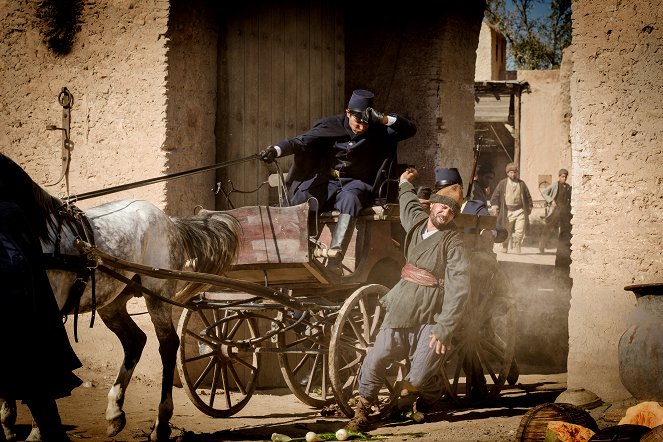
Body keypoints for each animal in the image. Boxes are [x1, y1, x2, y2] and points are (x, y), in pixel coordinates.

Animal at [0, 154, 243, 440]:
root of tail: (170, 221)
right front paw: (9, 425)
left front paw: (37, 431)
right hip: (112, 301)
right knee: (135, 340)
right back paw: (115, 412)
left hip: (157, 293)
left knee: (168, 344)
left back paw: (161, 424)